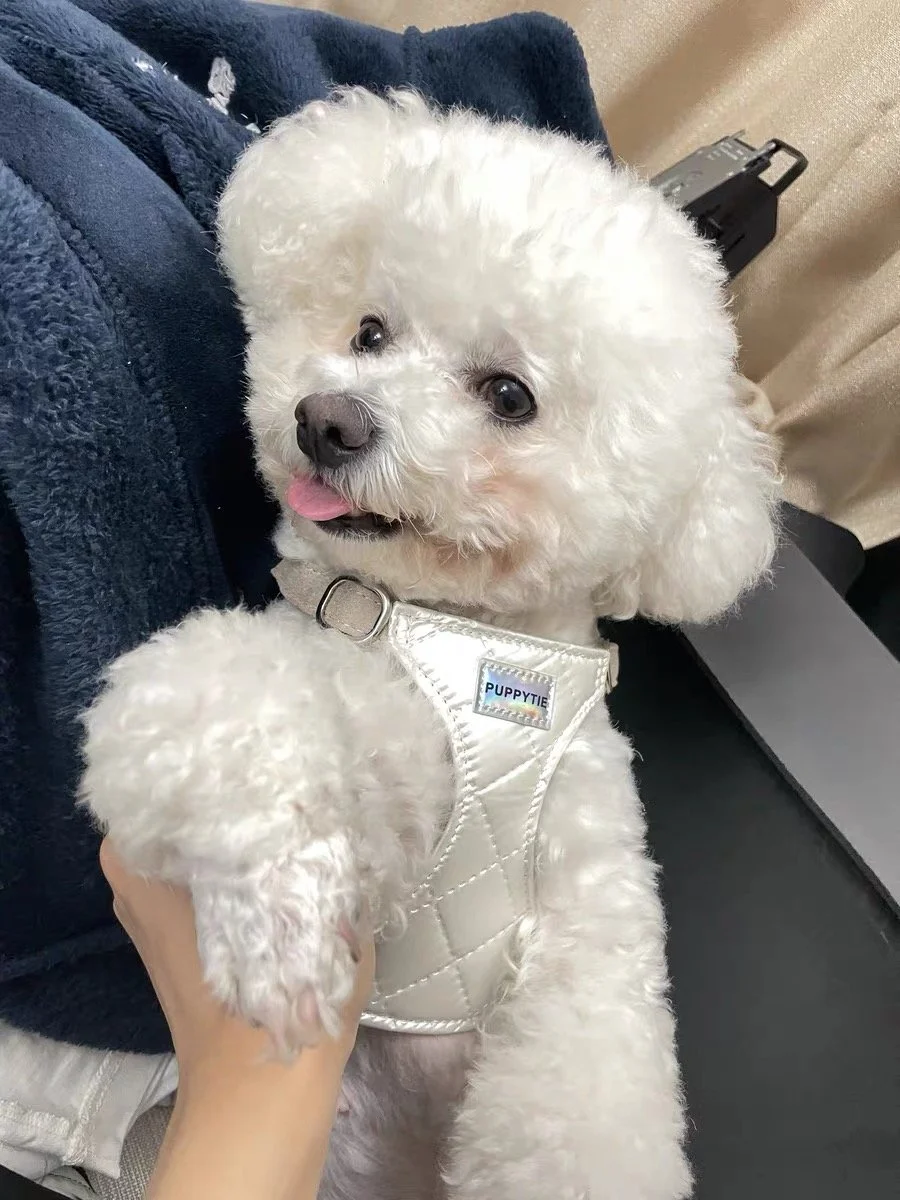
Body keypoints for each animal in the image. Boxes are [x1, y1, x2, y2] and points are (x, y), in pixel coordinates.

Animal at [81, 90, 777, 1200]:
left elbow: (589, 1099)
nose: (327, 419)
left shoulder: (591, 925)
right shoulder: (328, 753)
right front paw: (281, 935)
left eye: (508, 396)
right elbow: (226, 710)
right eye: (370, 332)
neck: (474, 639)